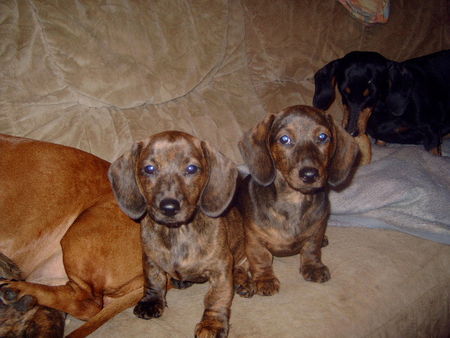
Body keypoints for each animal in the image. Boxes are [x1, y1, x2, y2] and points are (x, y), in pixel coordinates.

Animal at [107, 131, 251, 338]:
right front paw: (151, 302)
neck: (176, 232)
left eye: (191, 169)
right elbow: (153, 281)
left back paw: (243, 281)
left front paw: (212, 324)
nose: (169, 207)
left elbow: (216, 298)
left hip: (240, 254)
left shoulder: (221, 268)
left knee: (242, 266)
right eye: (149, 168)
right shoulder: (150, 259)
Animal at [236, 105, 358, 296]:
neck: (294, 200)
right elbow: (261, 258)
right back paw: (242, 283)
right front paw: (265, 279)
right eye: (284, 139)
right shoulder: (254, 239)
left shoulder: (316, 230)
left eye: (323, 137)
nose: (309, 174)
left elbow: (311, 249)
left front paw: (313, 267)